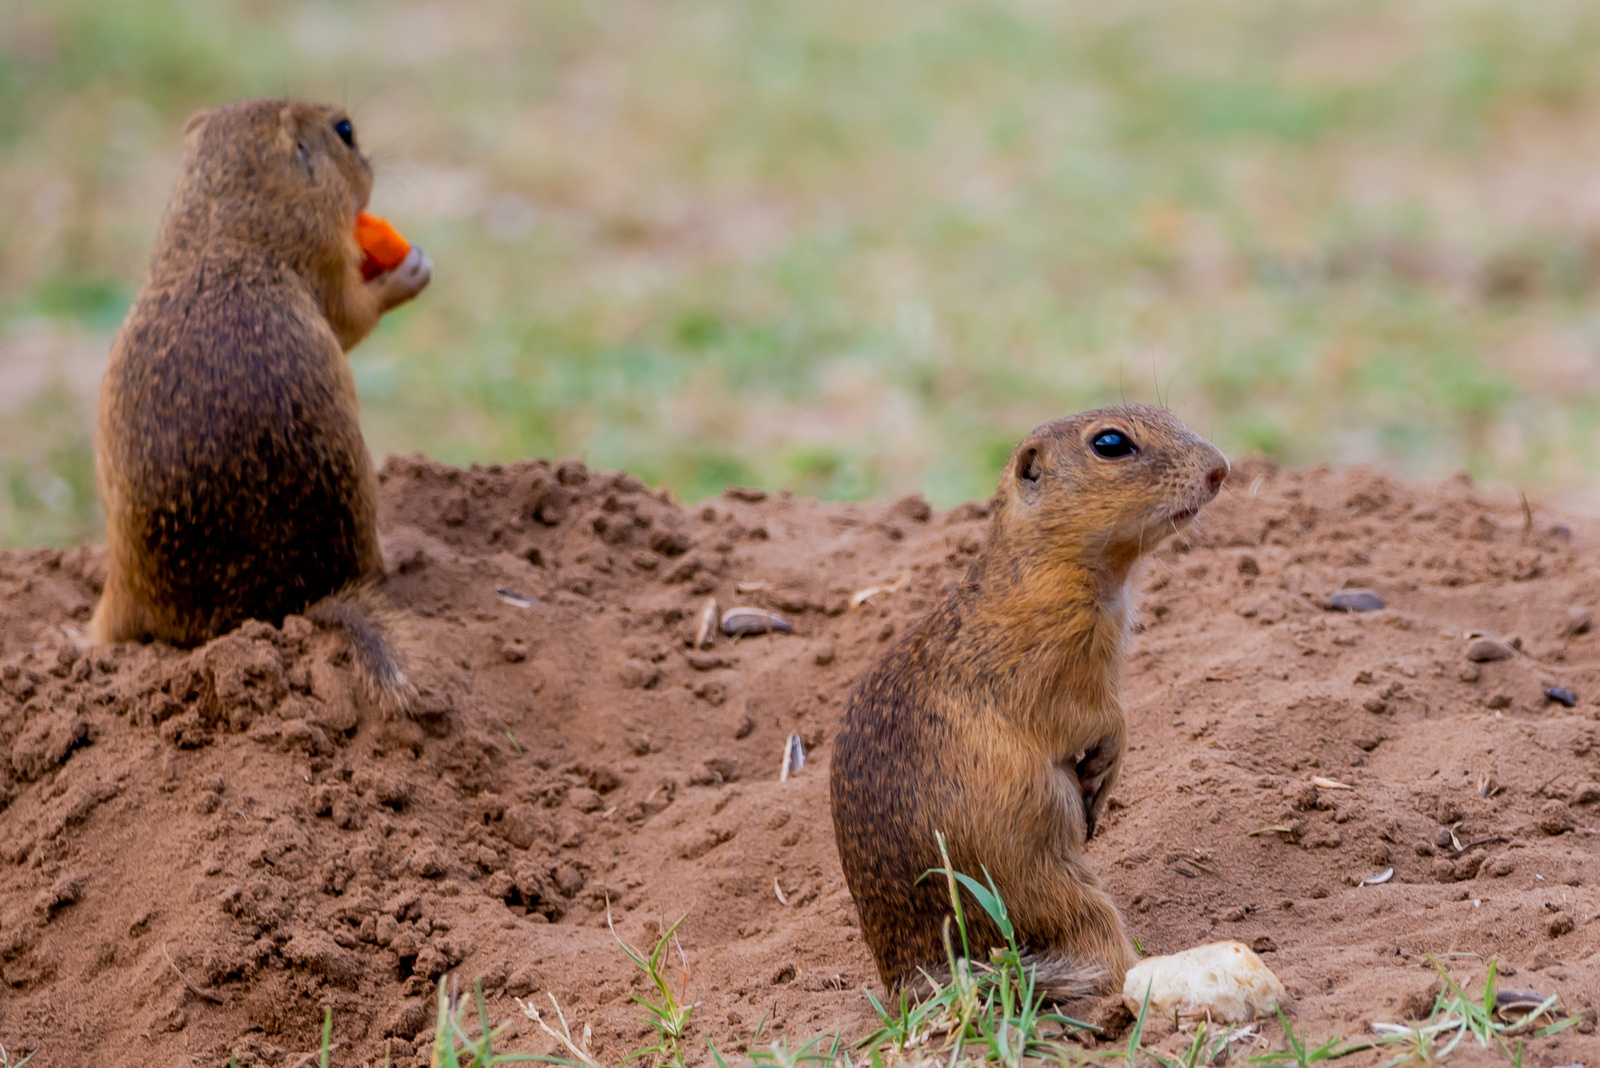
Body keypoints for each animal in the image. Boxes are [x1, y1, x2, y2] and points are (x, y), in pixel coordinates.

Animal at [92, 99, 432, 713]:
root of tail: (278, 613)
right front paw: (412, 267)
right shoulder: (325, 258)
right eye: (345, 131)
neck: (225, 226)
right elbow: (353, 315)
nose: (370, 164)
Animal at [832, 404, 1228, 997]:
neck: (1050, 566)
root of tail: (907, 982)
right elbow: (1103, 717)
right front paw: (1105, 769)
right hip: (1050, 887)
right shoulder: (1056, 667)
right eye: (1111, 444)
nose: (1221, 469)